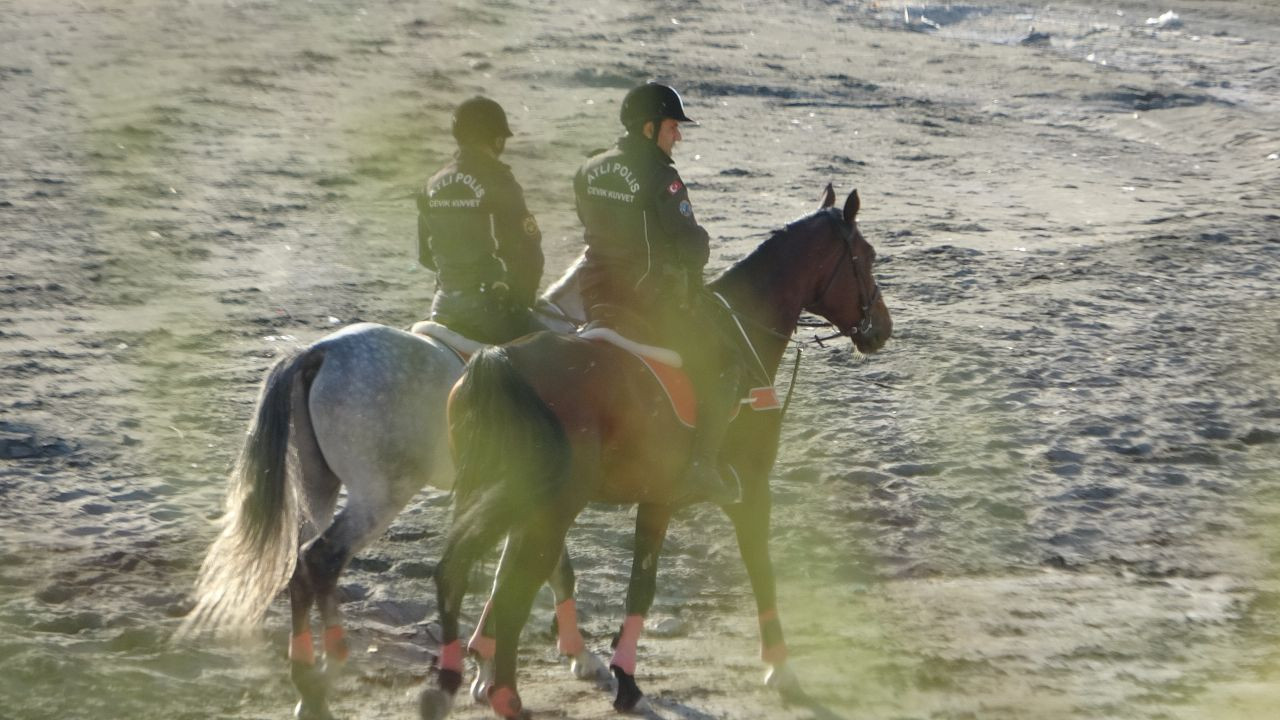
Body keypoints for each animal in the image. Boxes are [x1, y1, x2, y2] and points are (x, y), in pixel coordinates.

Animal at [174, 257, 609, 717]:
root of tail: (319, 352)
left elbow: (525, 574)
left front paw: (487, 668)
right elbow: (551, 572)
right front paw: (577, 658)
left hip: (319, 488)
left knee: (301, 567)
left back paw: (309, 686)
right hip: (381, 495)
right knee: (322, 559)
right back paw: (330, 667)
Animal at [419, 185, 890, 717]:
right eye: (866, 256)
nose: (882, 328)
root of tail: (499, 358)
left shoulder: (657, 499)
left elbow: (640, 588)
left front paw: (626, 678)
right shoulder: (752, 491)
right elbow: (761, 570)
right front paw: (781, 668)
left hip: (502, 499)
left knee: (461, 572)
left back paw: (452, 679)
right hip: (547, 508)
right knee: (513, 587)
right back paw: (505, 694)